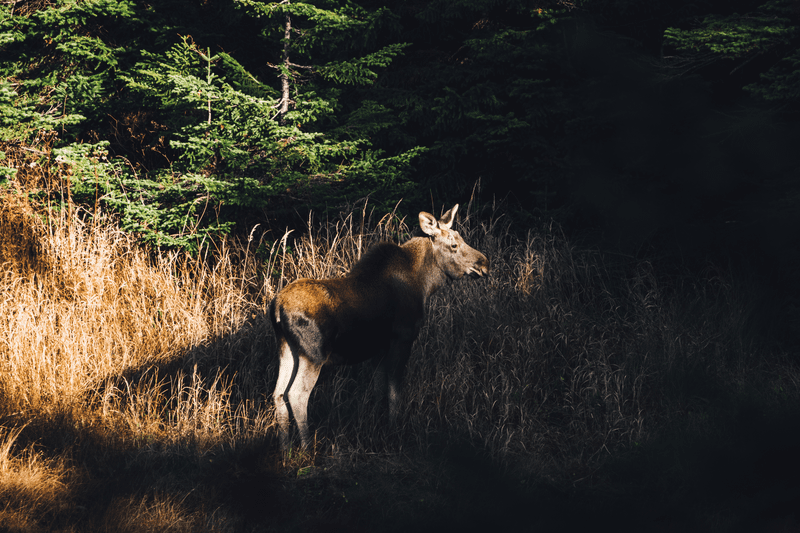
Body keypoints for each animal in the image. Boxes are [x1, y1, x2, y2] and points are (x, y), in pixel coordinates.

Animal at [268, 204, 488, 448]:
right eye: (453, 244)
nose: (484, 263)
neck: (425, 285)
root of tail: (277, 308)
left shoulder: (380, 347)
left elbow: (378, 387)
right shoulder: (403, 337)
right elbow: (394, 390)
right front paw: (395, 429)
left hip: (287, 349)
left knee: (278, 393)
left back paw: (285, 447)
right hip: (313, 355)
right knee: (297, 394)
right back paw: (307, 447)